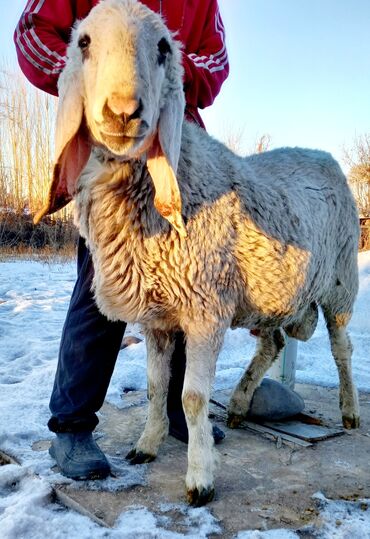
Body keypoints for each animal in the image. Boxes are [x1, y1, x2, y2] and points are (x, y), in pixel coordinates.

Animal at [34, 0, 358, 506]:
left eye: (164, 48)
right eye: (83, 42)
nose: (123, 112)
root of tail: (320, 153)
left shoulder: (206, 310)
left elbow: (190, 397)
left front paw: (200, 476)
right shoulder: (158, 317)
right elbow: (154, 386)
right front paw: (146, 446)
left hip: (340, 282)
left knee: (342, 348)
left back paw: (348, 410)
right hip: (269, 294)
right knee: (273, 343)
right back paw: (241, 404)